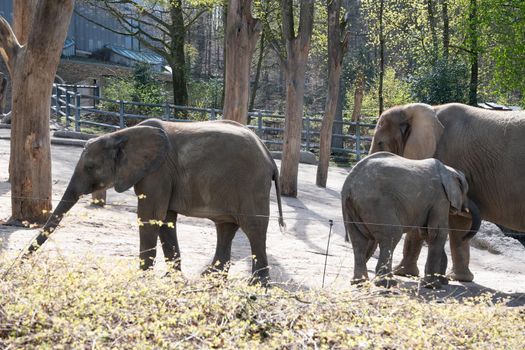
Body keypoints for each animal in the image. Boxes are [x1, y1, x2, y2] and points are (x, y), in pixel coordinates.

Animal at [26, 118, 282, 284]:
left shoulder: (157, 172)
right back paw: (210, 279)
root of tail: (270, 157)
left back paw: (256, 286)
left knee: (253, 229)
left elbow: (149, 217)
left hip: (252, 184)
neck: (122, 134)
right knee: (226, 227)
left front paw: (141, 279)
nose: (22, 261)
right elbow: (165, 220)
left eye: (90, 167)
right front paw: (172, 280)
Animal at [340, 152, 478, 288]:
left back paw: (359, 282)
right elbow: (437, 233)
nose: (465, 237)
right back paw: (387, 284)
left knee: (359, 240)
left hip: (355, 208)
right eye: (465, 192)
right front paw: (433, 286)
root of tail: (348, 184)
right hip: (376, 204)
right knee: (392, 235)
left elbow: (427, 233)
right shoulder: (440, 198)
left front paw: (439, 283)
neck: (448, 170)